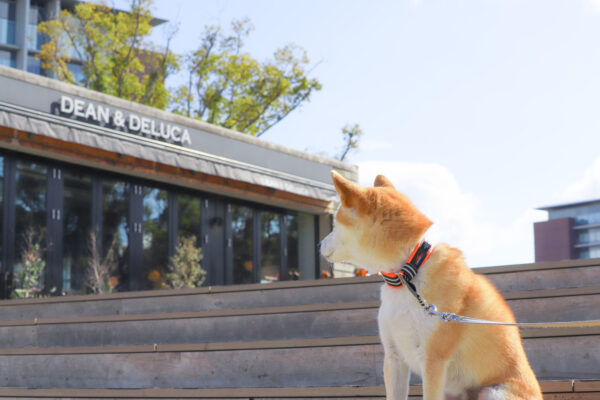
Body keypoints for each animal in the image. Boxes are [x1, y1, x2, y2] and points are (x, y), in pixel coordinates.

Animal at [322, 172, 540, 400]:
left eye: (335, 224)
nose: (319, 244)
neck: (408, 275)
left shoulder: (433, 360)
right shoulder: (393, 356)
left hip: (492, 391)